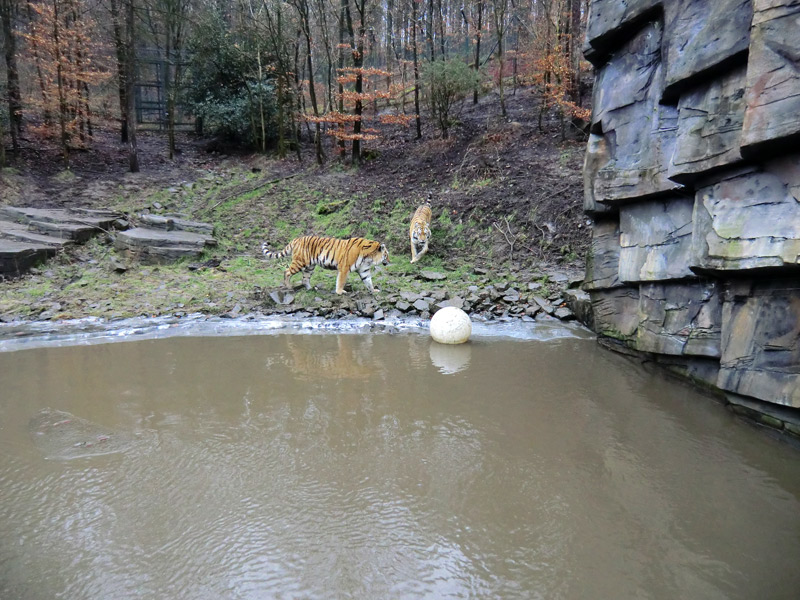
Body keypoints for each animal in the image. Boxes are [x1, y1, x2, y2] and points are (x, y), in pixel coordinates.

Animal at [260, 234, 390, 296]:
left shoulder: (364, 270)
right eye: (386, 254)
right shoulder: (344, 268)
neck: (369, 257)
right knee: (286, 271)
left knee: (304, 279)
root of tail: (296, 239)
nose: (389, 262)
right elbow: (341, 281)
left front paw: (373, 291)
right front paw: (340, 292)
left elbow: (368, 281)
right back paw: (289, 287)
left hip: (310, 267)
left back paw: (311, 289)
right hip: (300, 262)